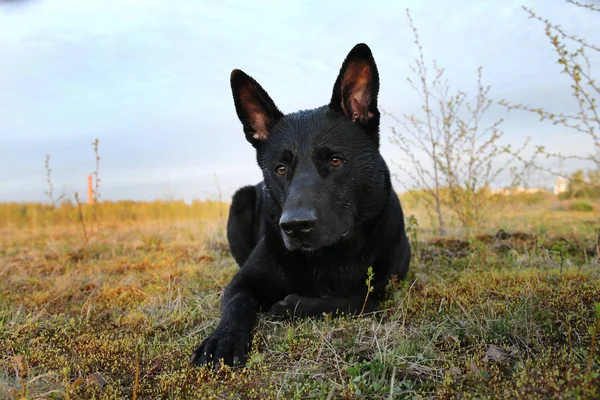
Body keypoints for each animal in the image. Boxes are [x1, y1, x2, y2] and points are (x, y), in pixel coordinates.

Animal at [192, 43, 412, 368]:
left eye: (335, 160)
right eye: (281, 168)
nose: (295, 226)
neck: (327, 258)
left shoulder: (385, 286)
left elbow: (359, 299)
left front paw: (292, 305)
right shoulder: (241, 282)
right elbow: (238, 302)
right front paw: (223, 338)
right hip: (239, 200)